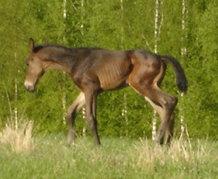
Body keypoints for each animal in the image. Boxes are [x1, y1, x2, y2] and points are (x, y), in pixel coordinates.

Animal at [23, 38, 187, 145]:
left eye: (28, 62)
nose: (28, 86)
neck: (75, 61)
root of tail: (160, 57)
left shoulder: (91, 89)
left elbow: (91, 118)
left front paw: (97, 146)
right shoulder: (87, 90)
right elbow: (70, 113)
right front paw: (69, 144)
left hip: (143, 85)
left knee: (170, 100)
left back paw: (158, 142)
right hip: (149, 88)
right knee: (164, 110)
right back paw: (166, 145)